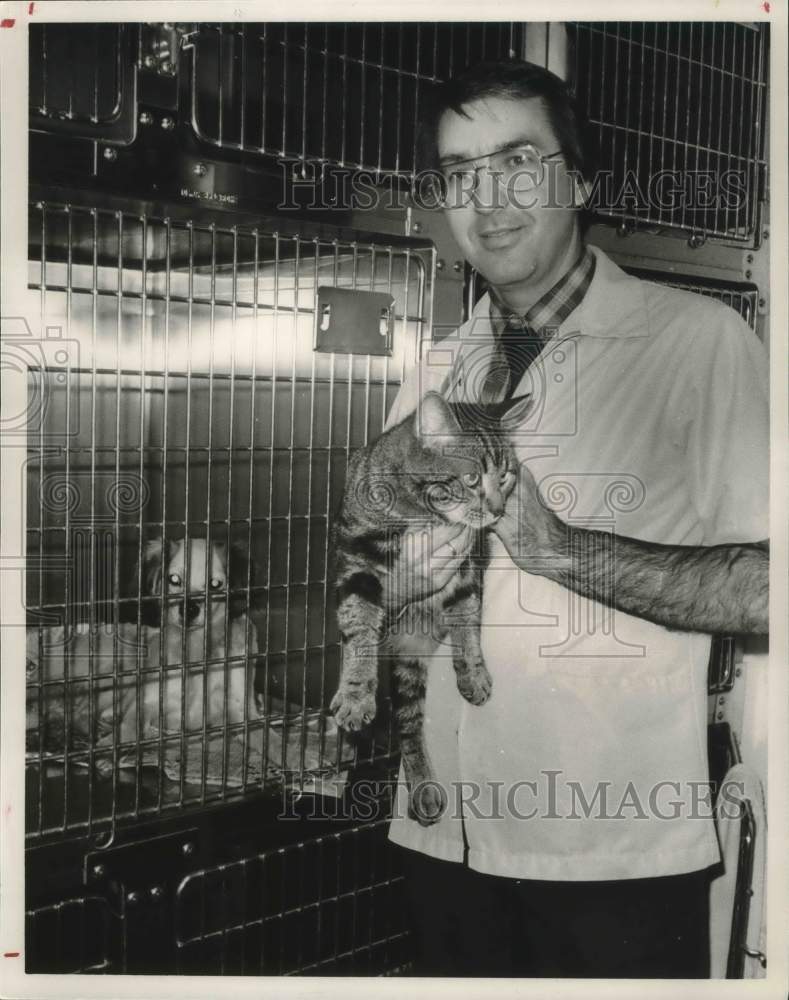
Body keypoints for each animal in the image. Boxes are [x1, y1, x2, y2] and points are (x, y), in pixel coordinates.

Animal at [330, 394, 516, 824]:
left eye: (506, 477)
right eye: (471, 479)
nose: (499, 510)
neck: (422, 512)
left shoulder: (468, 566)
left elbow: (467, 624)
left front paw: (474, 674)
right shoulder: (356, 560)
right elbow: (359, 626)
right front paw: (355, 693)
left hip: (410, 661)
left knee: (409, 721)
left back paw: (423, 788)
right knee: (406, 721)